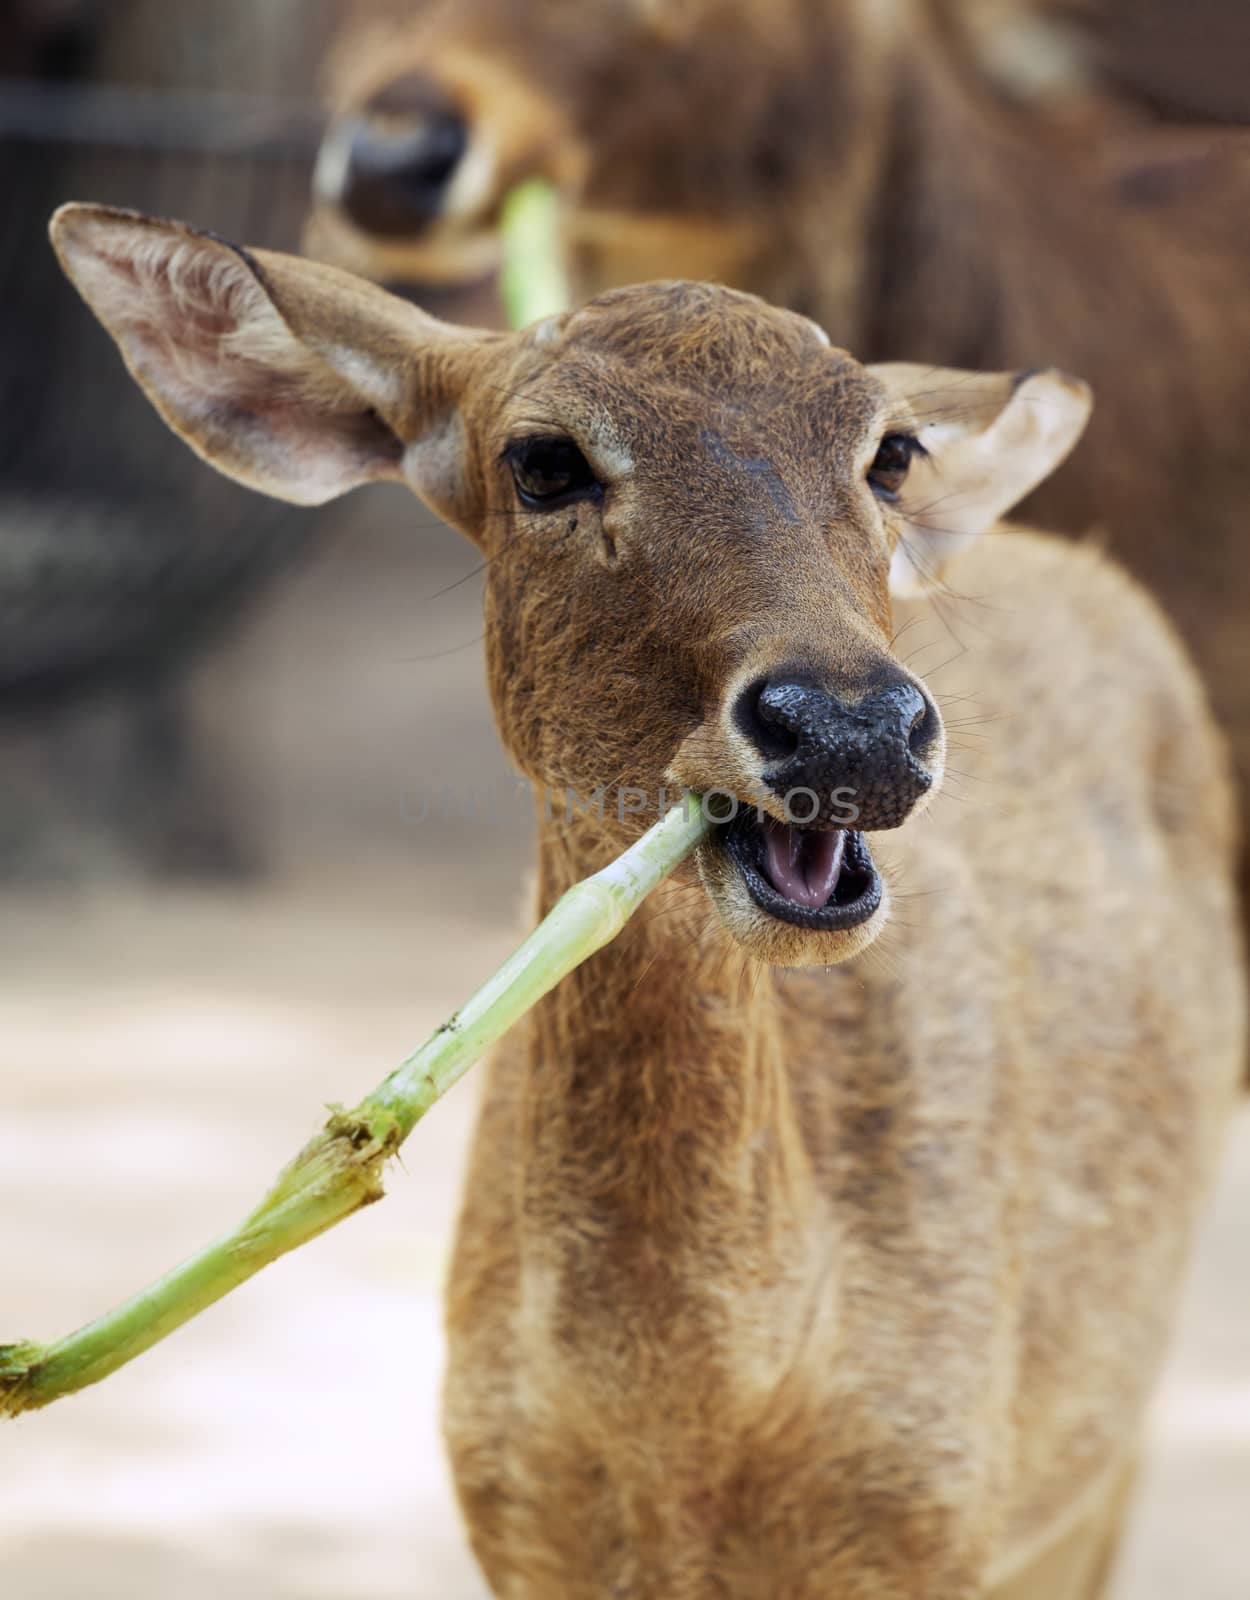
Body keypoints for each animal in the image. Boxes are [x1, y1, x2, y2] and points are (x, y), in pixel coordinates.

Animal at [48, 203, 1235, 1600]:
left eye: (889, 451)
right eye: (543, 462)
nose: (849, 727)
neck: (698, 1423)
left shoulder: (942, 1513)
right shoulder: (514, 1527)